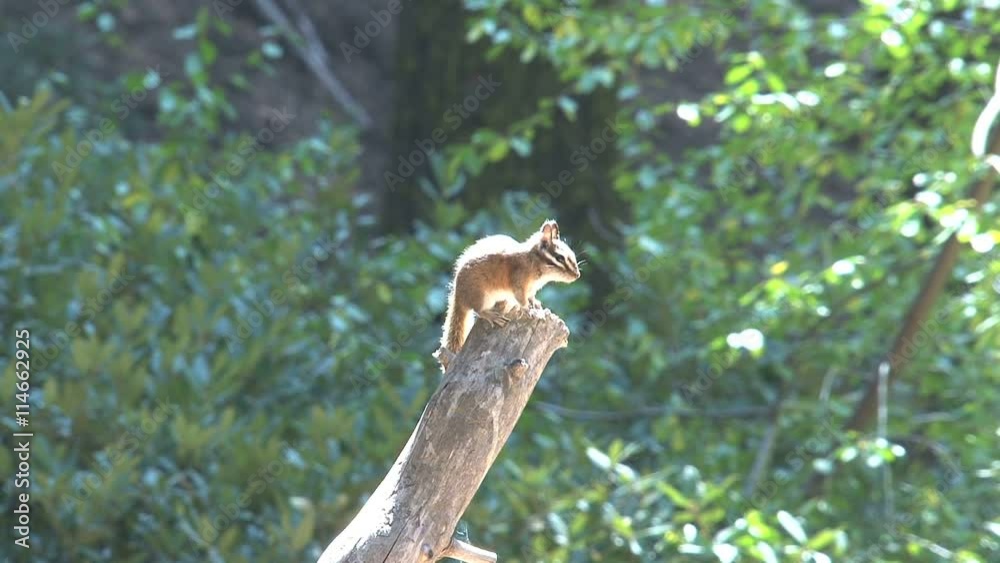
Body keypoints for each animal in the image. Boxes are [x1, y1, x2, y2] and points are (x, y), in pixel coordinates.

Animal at [433, 219, 581, 372]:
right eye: (559, 258)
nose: (577, 275)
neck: (533, 260)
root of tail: (458, 295)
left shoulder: (531, 289)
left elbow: (531, 297)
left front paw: (536, 304)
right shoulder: (519, 284)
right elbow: (522, 300)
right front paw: (530, 311)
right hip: (482, 296)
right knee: (478, 310)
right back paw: (492, 315)